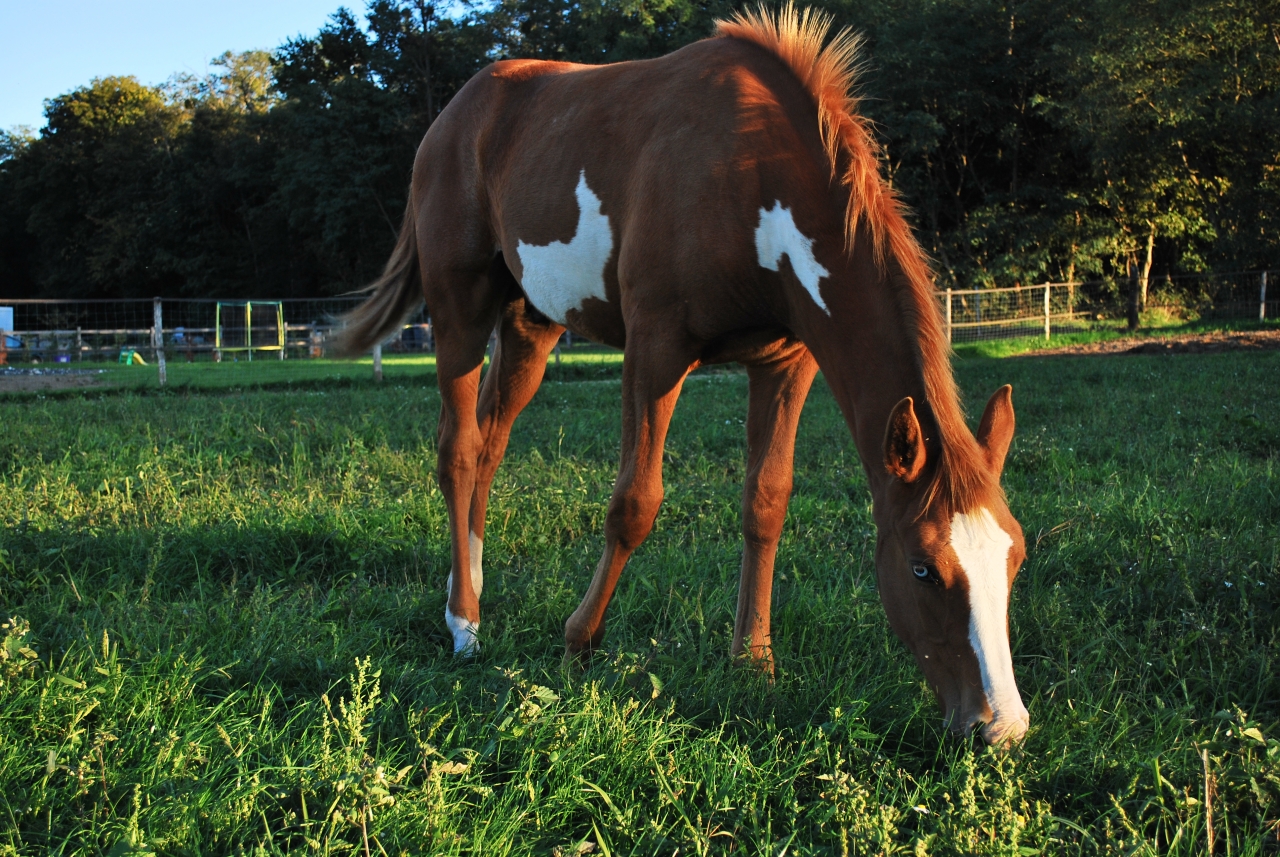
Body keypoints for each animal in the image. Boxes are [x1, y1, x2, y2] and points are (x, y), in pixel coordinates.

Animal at [336, 4, 1030, 744]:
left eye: (1014, 554)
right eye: (923, 568)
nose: (1002, 725)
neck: (750, 174)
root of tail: (452, 116)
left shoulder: (786, 363)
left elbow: (766, 502)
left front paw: (752, 660)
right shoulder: (656, 348)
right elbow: (633, 503)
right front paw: (579, 641)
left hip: (533, 321)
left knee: (491, 441)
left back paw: (465, 588)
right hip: (459, 307)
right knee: (460, 449)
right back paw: (464, 624)